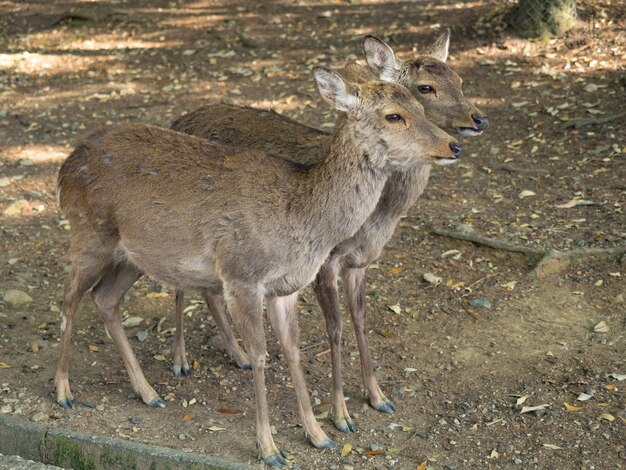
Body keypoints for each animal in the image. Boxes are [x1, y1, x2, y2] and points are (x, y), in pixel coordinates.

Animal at [56, 67, 460, 466]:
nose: (454, 145)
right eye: (394, 115)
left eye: (421, 105)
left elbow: (293, 352)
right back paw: (63, 391)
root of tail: (65, 165)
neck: (303, 218)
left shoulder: (288, 287)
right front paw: (269, 448)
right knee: (69, 299)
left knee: (105, 299)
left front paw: (319, 435)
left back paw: (148, 392)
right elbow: (261, 356)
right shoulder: (242, 276)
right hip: (89, 234)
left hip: (133, 257)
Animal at [169, 29, 488, 434]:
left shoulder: (362, 261)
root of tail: (178, 120)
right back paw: (180, 360)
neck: (379, 216)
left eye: (461, 80)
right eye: (424, 88)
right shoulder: (324, 261)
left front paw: (378, 396)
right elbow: (334, 328)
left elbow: (361, 319)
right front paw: (340, 414)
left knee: (209, 289)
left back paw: (239, 354)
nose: (477, 120)